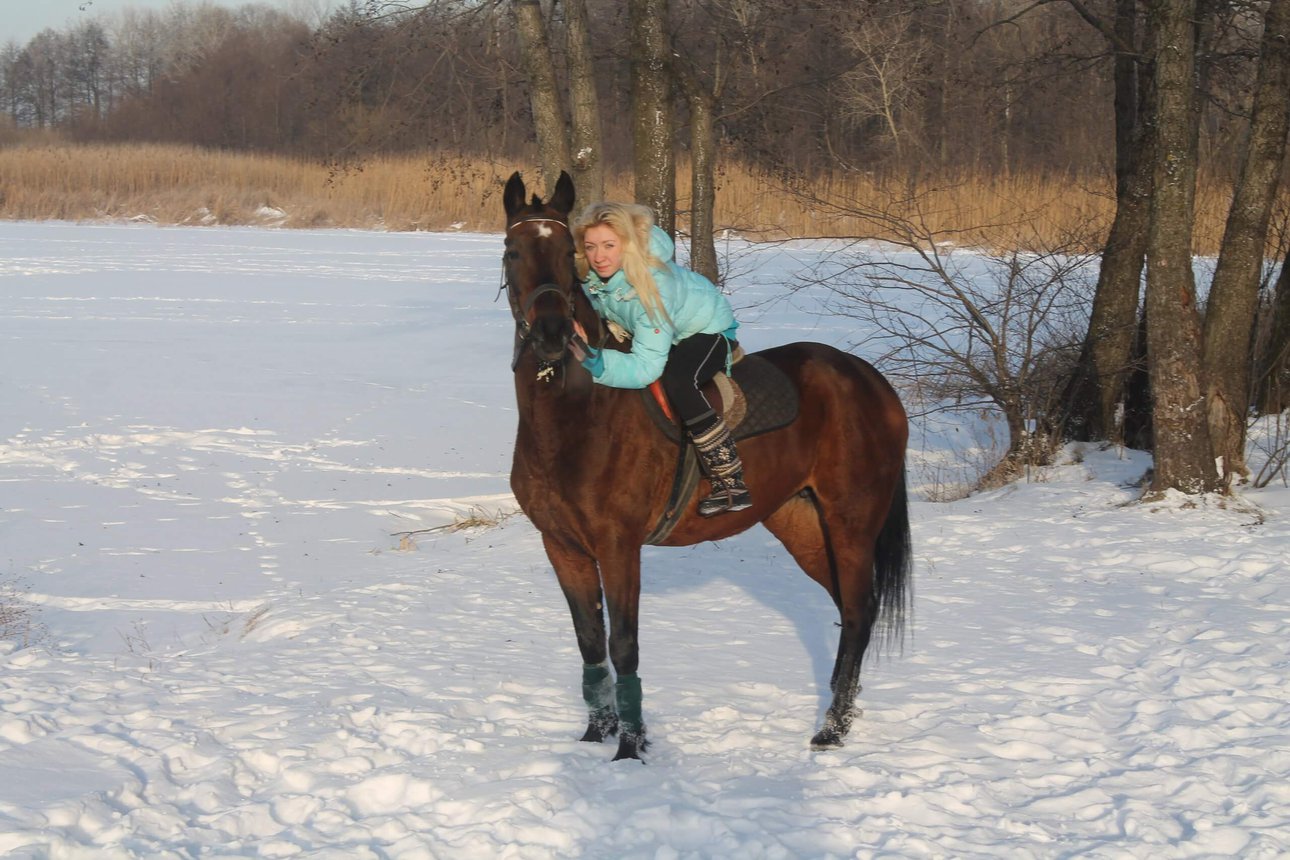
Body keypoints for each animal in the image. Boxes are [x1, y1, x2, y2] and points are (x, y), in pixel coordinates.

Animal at [497, 171, 913, 763]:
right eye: (512, 252)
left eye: (565, 253)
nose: (554, 334)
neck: (577, 418)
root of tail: (869, 379)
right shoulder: (562, 545)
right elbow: (590, 643)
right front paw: (596, 734)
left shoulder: (618, 546)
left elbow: (624, 645)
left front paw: (630, 749)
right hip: (803, 524)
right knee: (854, 608)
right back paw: (843, 711)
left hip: (851, 522)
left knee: (857, 612)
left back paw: (831, 729)